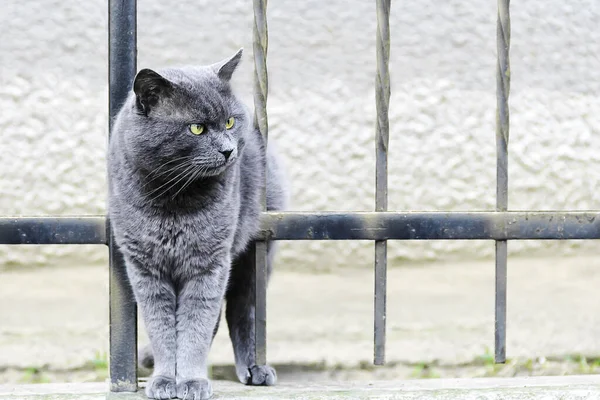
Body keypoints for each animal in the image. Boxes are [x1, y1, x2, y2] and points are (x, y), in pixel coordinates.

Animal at [108, 50, 288, 400]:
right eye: (196, 128)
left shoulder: (210, 264)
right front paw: (166, 379)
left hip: (254, 254)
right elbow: (161, 326)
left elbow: (196, 324)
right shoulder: (144, 266)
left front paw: (190, 381)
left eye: (230, 122)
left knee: (241, 311)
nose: (229, 150)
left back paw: (254, 369)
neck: (174, 199)